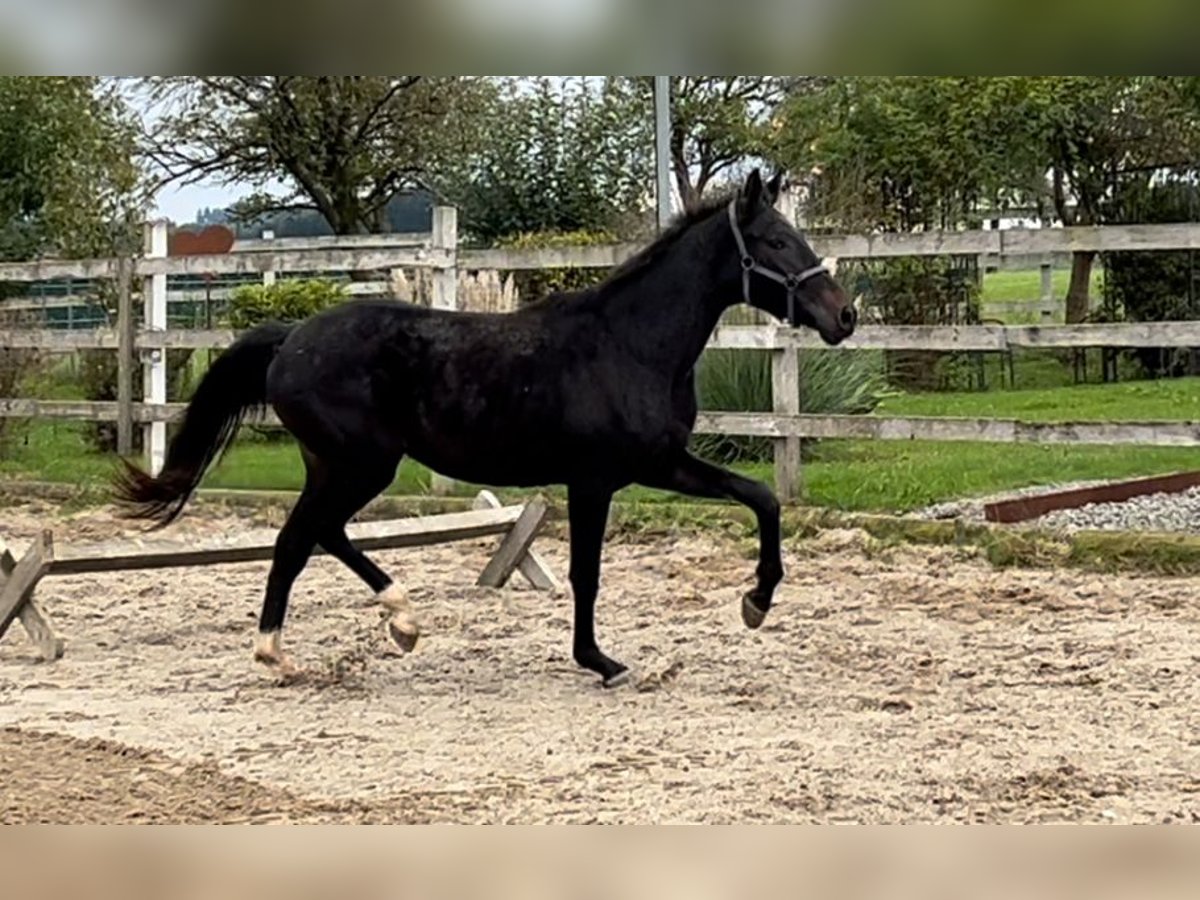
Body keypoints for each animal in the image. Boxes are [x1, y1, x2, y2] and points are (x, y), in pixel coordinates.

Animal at [117, 170, 859, 691]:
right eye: (774, 242)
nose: (844, 316)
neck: (630, 344)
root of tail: (289, 339)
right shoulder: (595, 480)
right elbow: (587, 574)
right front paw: (602, 661)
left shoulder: (662, 463)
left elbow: (762, 497)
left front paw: (755, 602)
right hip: (360, 464)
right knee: (301, 538)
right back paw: (296, 649)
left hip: (339, 466)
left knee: (315, 536)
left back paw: (387, 627)